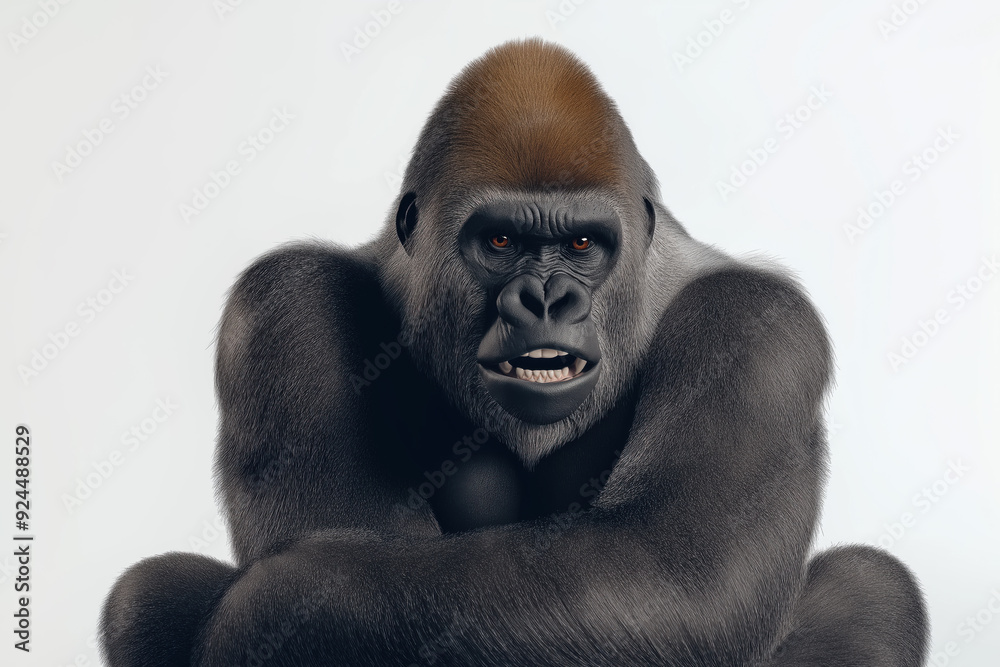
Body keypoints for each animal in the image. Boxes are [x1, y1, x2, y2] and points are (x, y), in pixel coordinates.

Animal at [100, 38, 928, 666]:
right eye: (499, 241)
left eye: (582, 245)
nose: (547, 301)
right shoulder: (278, 307)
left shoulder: (758, 330)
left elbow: (677, 576)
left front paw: (269, 610)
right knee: (145, 593)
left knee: (873, 582)